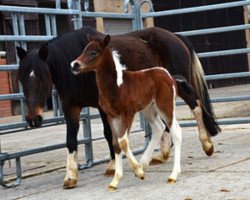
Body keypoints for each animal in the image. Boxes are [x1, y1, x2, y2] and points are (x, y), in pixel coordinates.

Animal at [16, 25, 220, 188]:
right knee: (164, 124)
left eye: (41, 77)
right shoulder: (71, 107)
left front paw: (113, 166)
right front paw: (71, 176)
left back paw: (206, 144)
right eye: (21, 78)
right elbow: (71, 139)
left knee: (195, 105)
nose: (33, 119)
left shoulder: (103, 108)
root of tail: (176, 36)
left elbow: (109, 134)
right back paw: (161, 155)